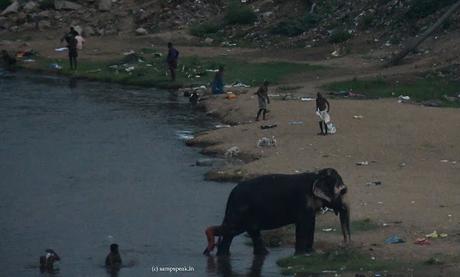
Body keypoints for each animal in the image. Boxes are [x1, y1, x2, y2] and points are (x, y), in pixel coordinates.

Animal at [203, 167, 350, 256]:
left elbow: (310, 224)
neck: (316, 175)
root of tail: (231, 195)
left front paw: (309, 252)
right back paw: (209, 236)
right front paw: (301, 255)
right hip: (239, 212)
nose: (344, 245)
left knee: (244, 232)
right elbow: (304, 225)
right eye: (342, 191)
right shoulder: (302, 202)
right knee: (232, 230)